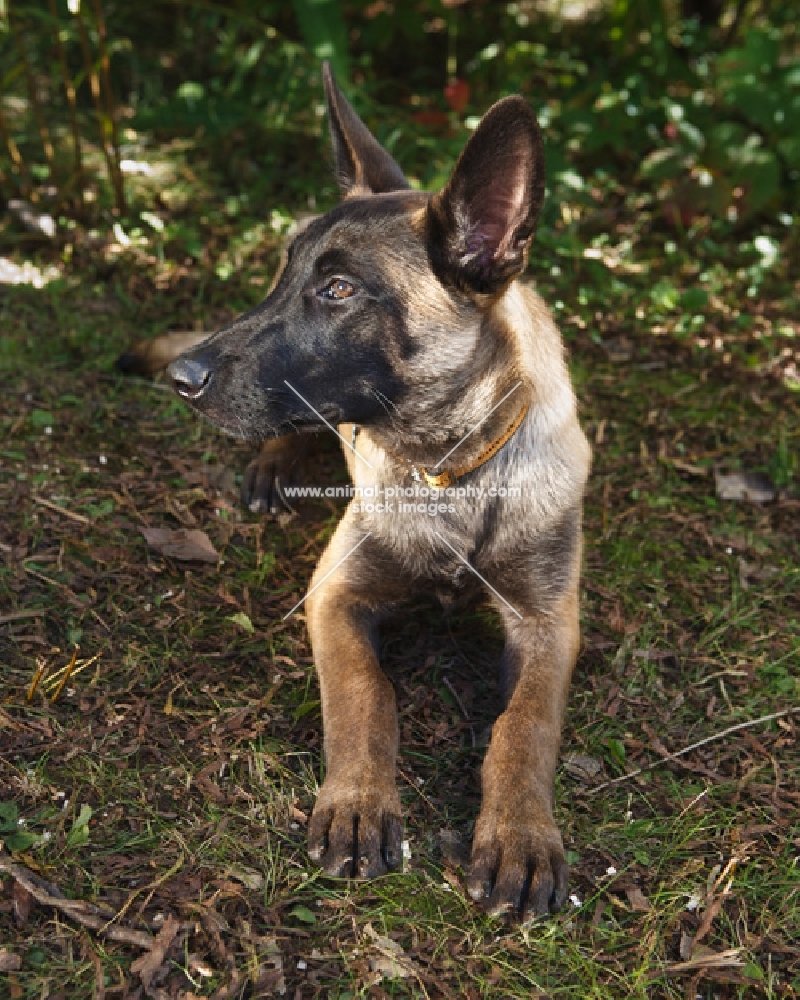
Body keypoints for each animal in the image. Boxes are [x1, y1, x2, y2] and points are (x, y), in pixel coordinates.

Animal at [162, 66, 592, 916]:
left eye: (337, 290)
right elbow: (366, 695)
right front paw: (359, 801)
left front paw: (521, 835)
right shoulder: (336, 594)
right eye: (283, 277)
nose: (181, 377)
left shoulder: (548, 622)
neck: (450, 471)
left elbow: (524, 727)